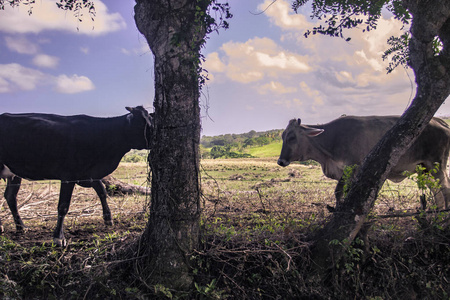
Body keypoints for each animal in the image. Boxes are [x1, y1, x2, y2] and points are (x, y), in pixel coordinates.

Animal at [0, 106, 153, 246]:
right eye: (144, 123)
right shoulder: (69, 176)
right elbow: (63, 206)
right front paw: (58, 237)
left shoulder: (89, 174)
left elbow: (102, 191)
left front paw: (108, 218)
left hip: (14, 174)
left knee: (10, 196)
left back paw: (21, 227)